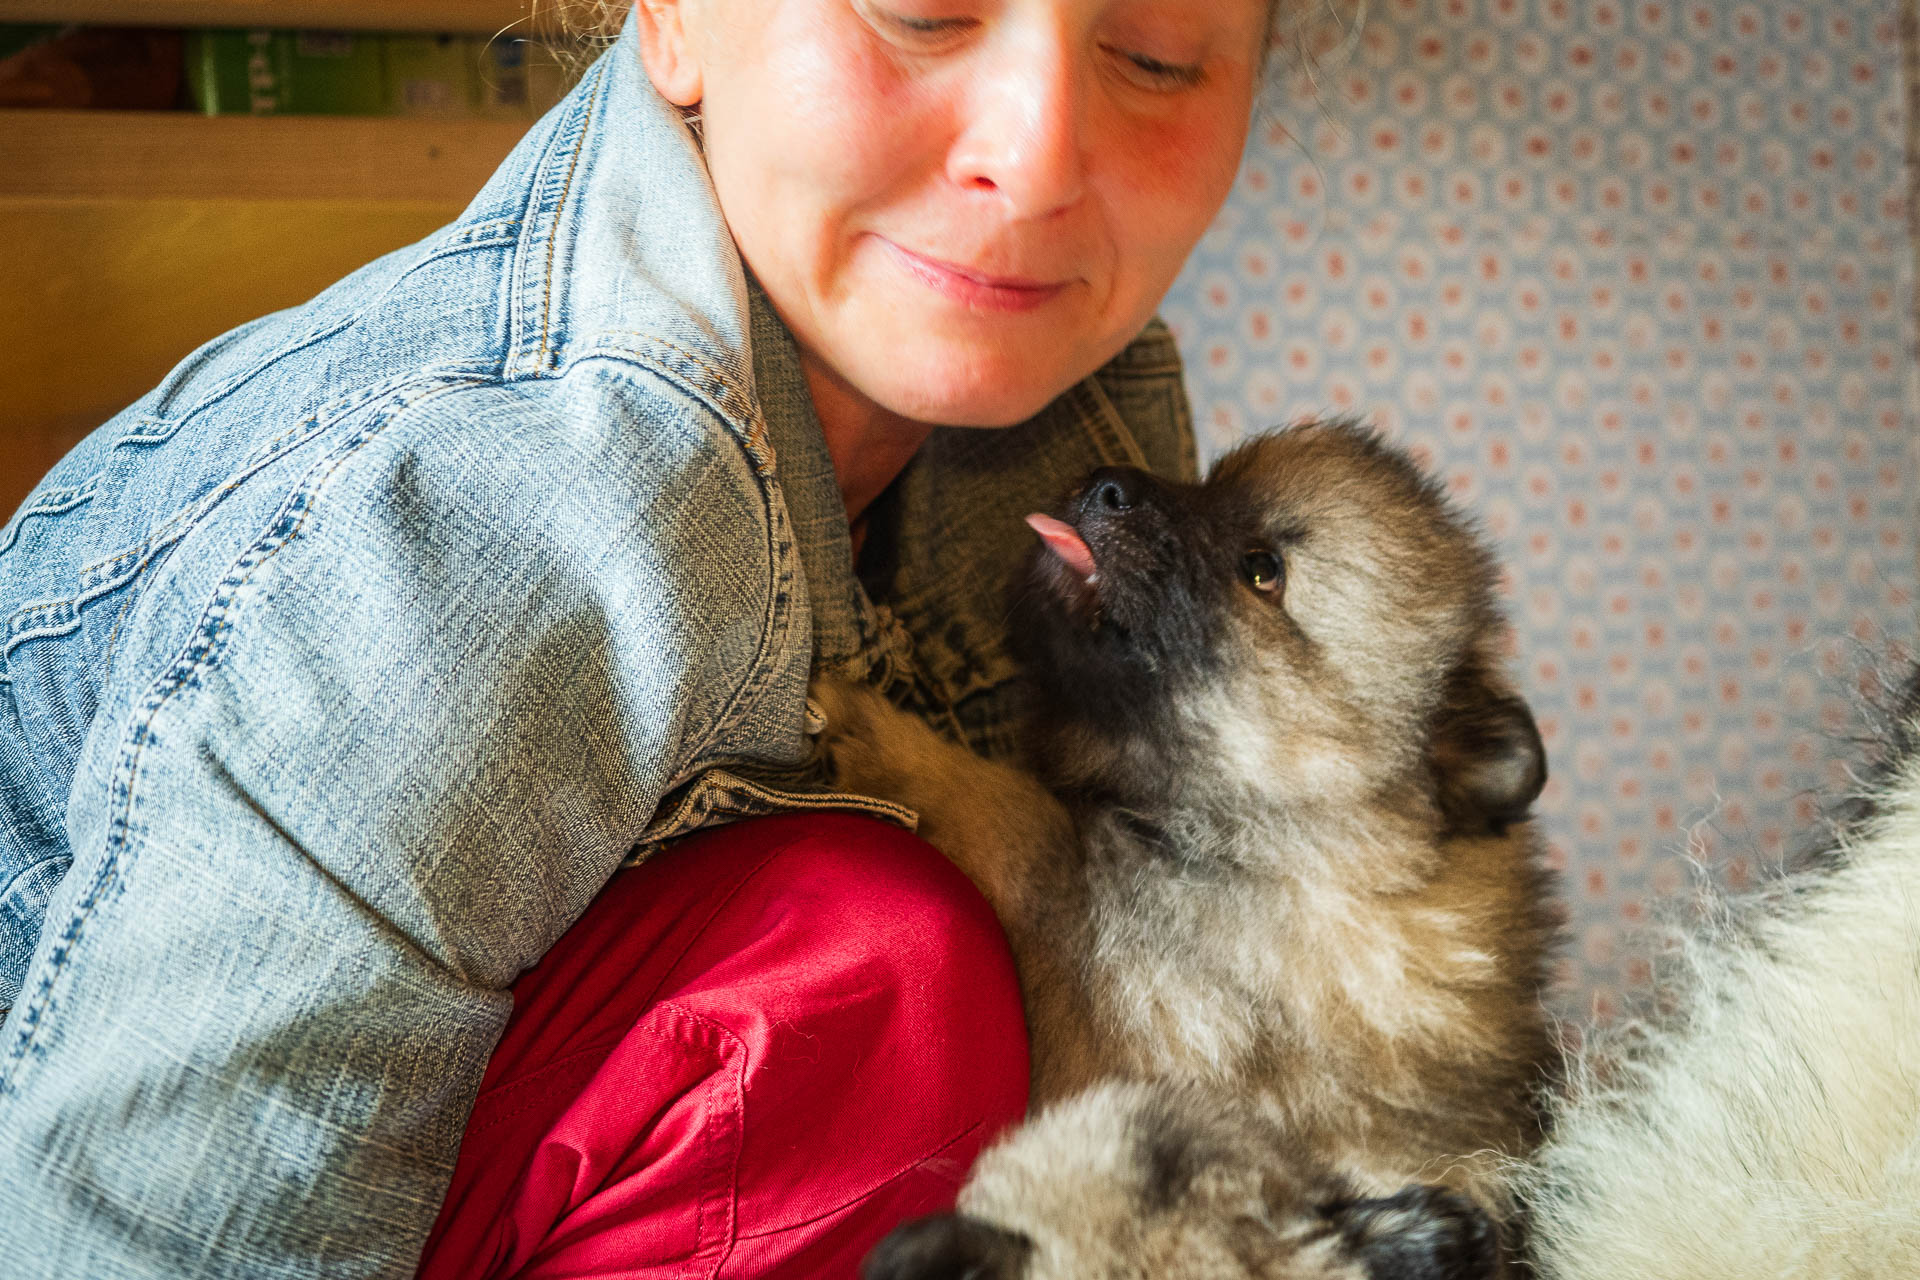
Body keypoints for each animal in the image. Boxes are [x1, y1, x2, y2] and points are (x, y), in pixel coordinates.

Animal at [817, 422, 1551, 1220]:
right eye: (1207, 483)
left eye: (1262, 570)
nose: (1105, 485)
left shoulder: (1097, 941)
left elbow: (1009, 819)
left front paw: (869, 732)